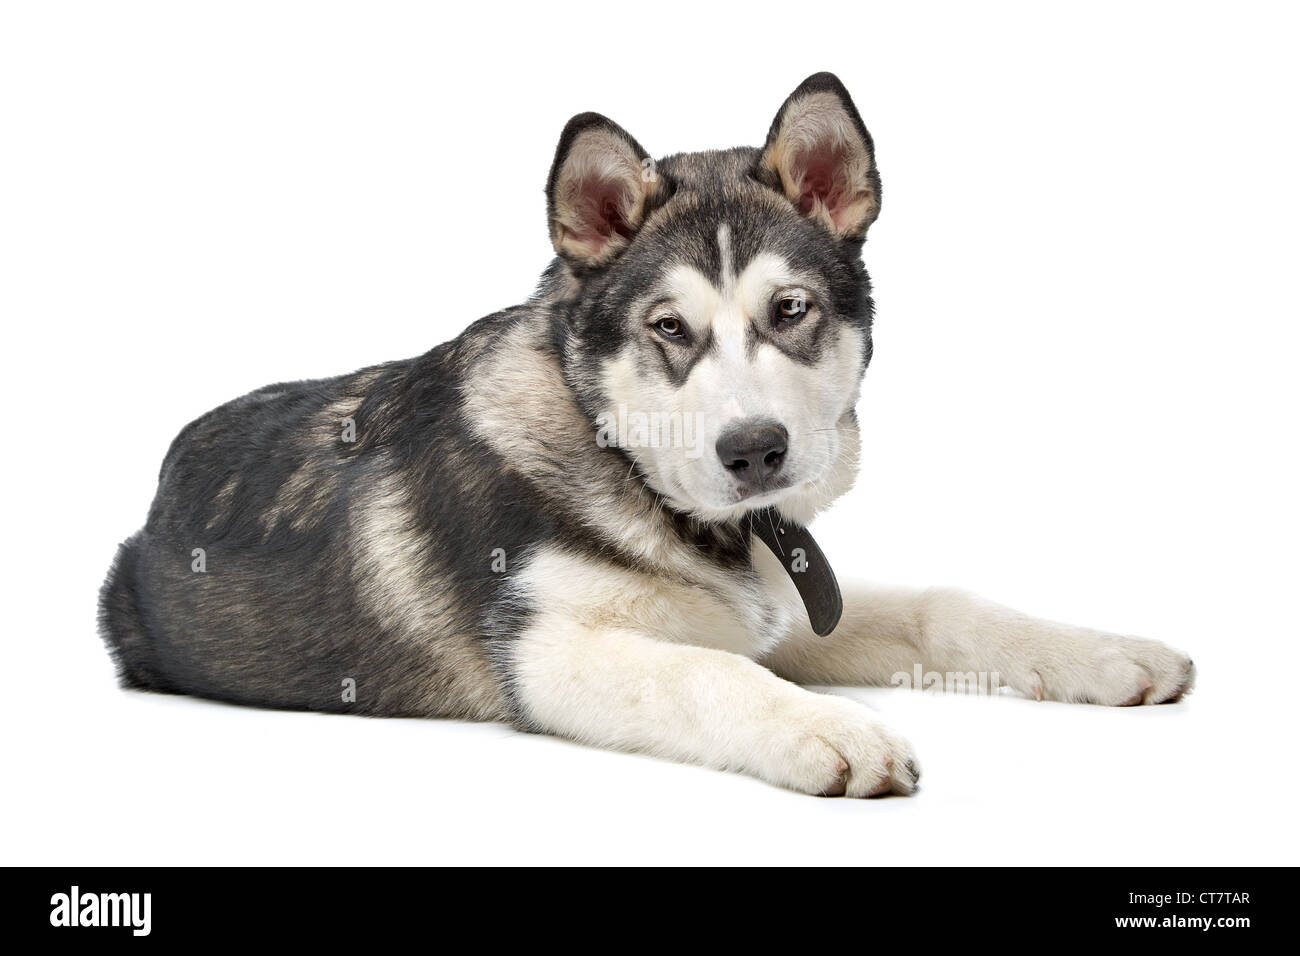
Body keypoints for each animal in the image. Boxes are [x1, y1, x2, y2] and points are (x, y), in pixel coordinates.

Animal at [104, 72, 1196, 790]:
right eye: (669, 328)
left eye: (790, 310)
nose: (754, 451)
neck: (637, 475)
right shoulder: (546, 652)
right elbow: (706, 670)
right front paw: (831, 728)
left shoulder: (787, 610)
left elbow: (943, 606)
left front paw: (1106, 652)